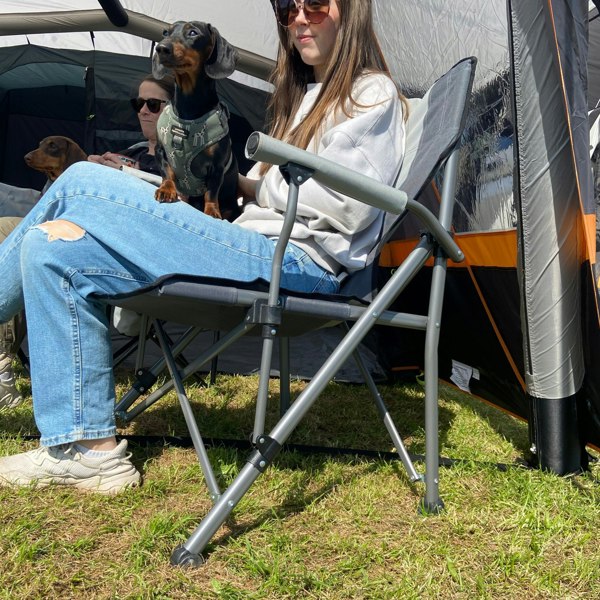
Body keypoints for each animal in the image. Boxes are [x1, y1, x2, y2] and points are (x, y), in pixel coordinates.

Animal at [152, 21, 241, 224]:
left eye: (193, 33)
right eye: (165, 32)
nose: (161, 48)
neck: (189, 109)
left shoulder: (217, 167)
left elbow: (212, 192)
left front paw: (212, 211)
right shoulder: (161, 151)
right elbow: (167, 173)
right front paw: (166, 189)